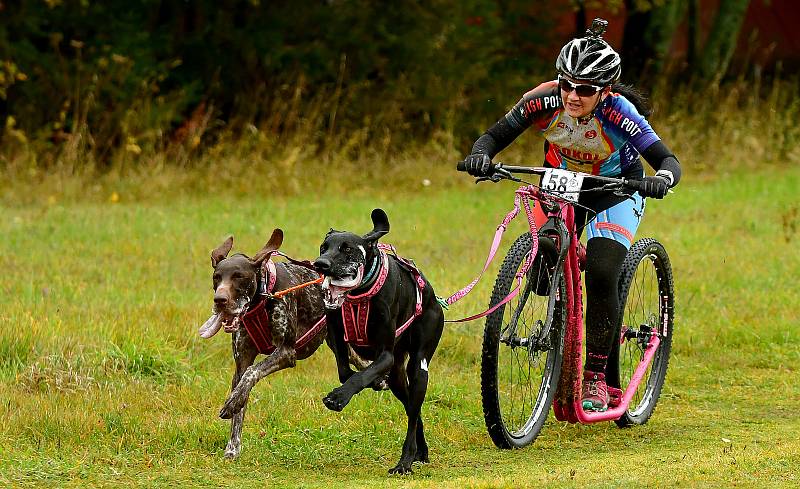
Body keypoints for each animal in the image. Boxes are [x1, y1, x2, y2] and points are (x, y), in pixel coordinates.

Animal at [314, 207, 450, 472]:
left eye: (347, 249)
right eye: (324, 247)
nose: (320, 264)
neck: (358, 296)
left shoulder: (384, 354)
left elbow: (358, 376)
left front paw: (339, 397)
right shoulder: (338, 338)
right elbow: (347, 372)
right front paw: (373, 382)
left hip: (419, 367)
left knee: (413, 412)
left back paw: (405, 460)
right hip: (398, 376)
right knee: (412, 409)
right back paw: (421, 450)